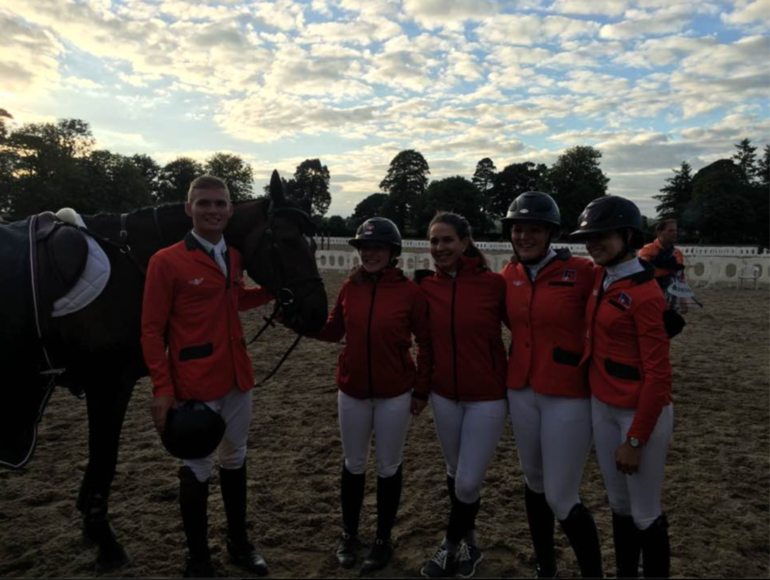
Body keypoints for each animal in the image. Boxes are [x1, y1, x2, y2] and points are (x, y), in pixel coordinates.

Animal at [0, 173, 328, 572]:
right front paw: (106, 543)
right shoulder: (108, 383)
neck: (131, 262)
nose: (317, 313)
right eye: (287, 240)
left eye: (313, 242)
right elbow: (104, 458)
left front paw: (92, 531)